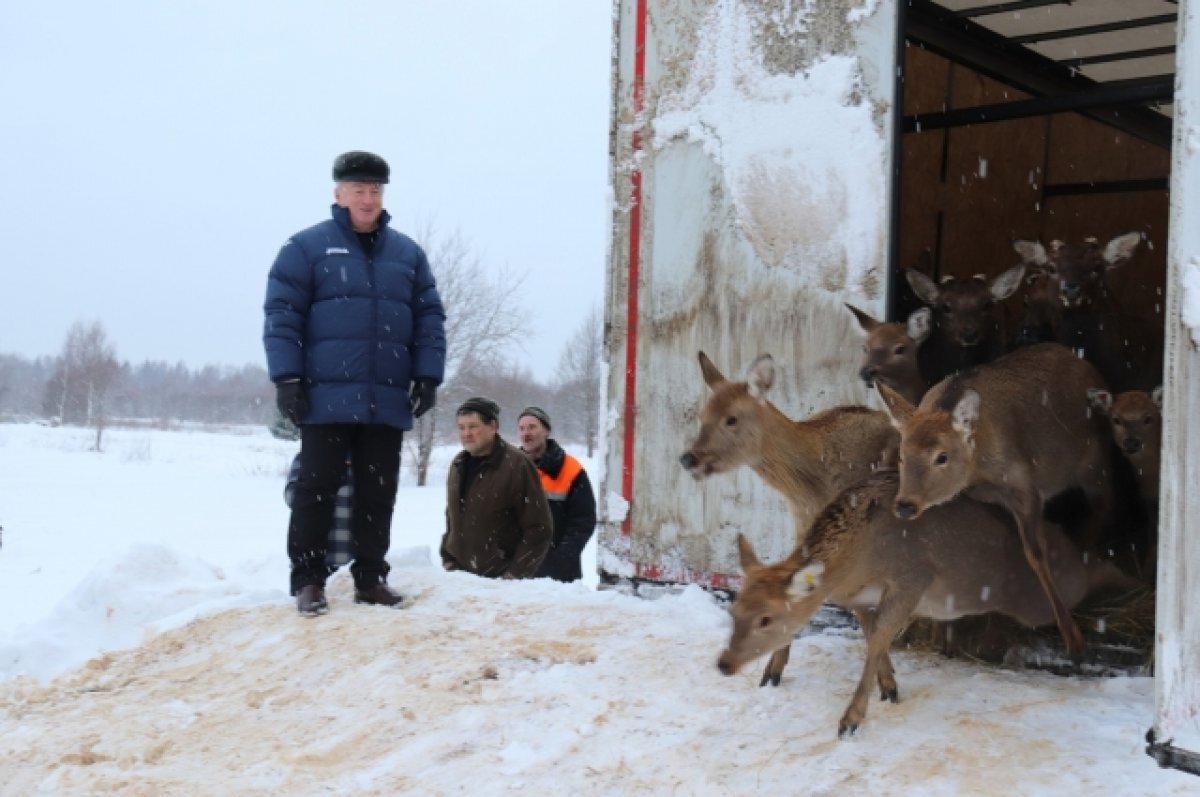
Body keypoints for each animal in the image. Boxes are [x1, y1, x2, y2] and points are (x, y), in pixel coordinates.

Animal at [681, 352, 897, 686]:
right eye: (702, 415)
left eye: (731, 418)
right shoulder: (804, 526)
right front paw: (772, 671)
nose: (689, 458)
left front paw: (887, 684)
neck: (810, 488)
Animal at [710, 470, 1113, 739]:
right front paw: (888, 684)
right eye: (734, 611)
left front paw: (851, 718)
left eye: (765, 619)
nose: (724, 664)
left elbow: (877, 636)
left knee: (1080, 571)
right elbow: (873, 634)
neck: (855, 561)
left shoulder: (912, 578)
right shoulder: (861, 596)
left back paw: (1080, 636)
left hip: (1034, 601)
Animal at [873, 343, 1113, 657]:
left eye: (942, 457)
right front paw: (948, 635)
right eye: (902, 455)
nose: (905, 505)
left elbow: (1035, 553)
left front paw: (1073, 638)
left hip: (1093, 461)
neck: (980, 470)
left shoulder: (1026, 486)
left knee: (1103, 505)